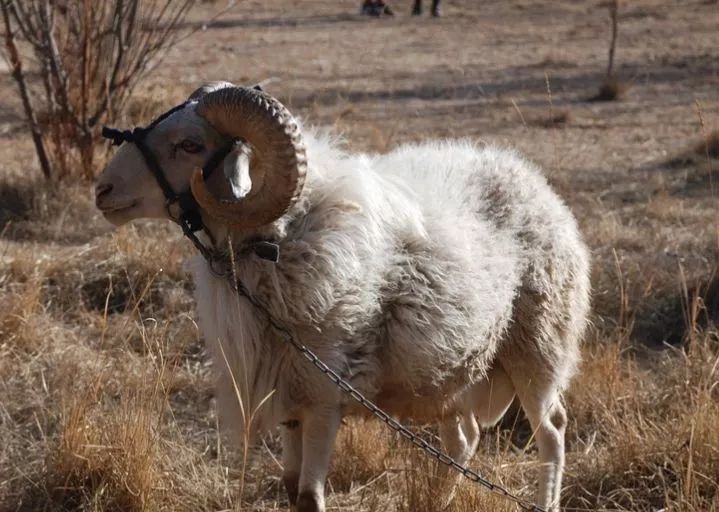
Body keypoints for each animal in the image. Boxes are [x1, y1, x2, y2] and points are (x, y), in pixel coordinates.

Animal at [95, 82, 592, 510]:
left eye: (190, 145)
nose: (102, 189)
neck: (281, 239)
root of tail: (534, 182)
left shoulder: (324, 399)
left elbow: (308, 498)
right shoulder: (291, 396)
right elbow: (289, 486)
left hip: (538, 349)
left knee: (551, 431)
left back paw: (546, 498)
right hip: (458, 370)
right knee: (464, 437)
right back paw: (438, 500)